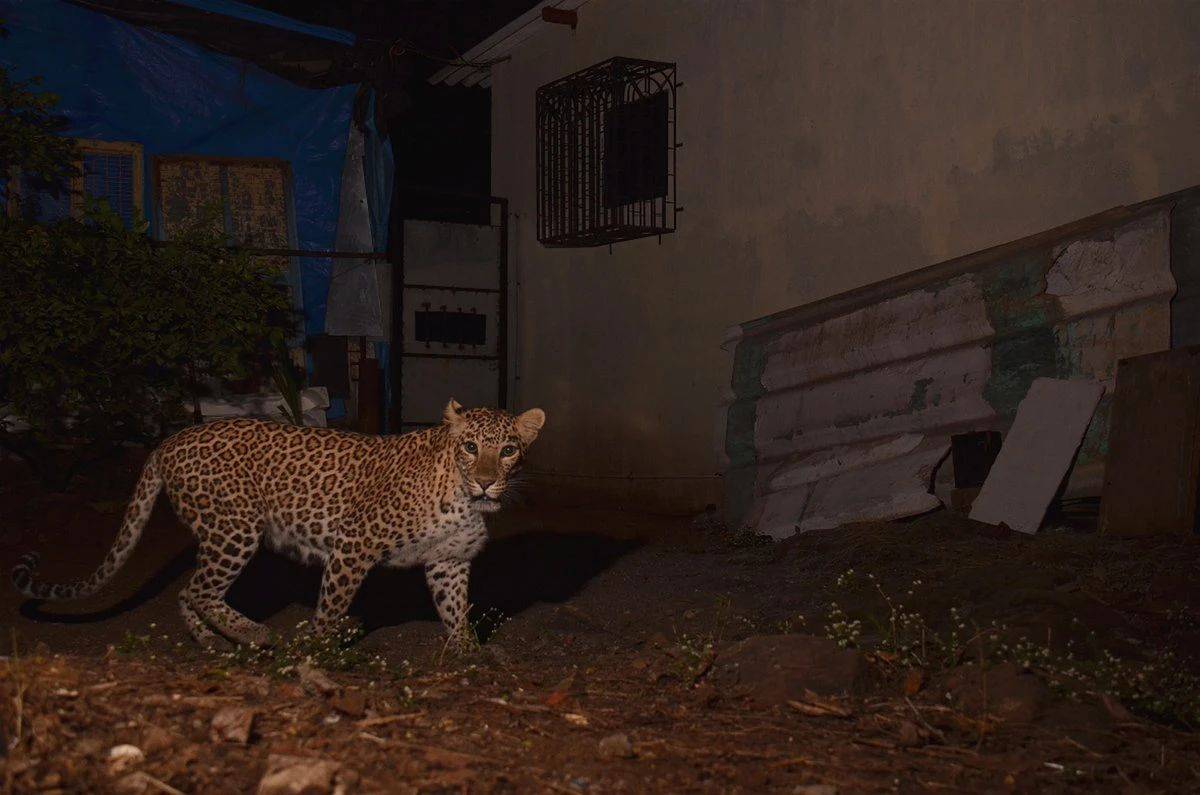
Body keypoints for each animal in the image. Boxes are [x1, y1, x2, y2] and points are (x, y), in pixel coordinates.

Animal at [11, 401, 547, 653]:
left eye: (508, 450)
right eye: (470, 447)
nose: (486, 483)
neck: (464, 500)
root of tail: (168, 442)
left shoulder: (448, 562)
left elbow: (456, 611)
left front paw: (467, 655)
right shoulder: (353, 547)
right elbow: (331, 607)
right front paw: (318, 651)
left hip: (217, 534)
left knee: (187, 592)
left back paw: (213, 643)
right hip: (235, 529)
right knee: (200, 591)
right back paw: (254, 634)